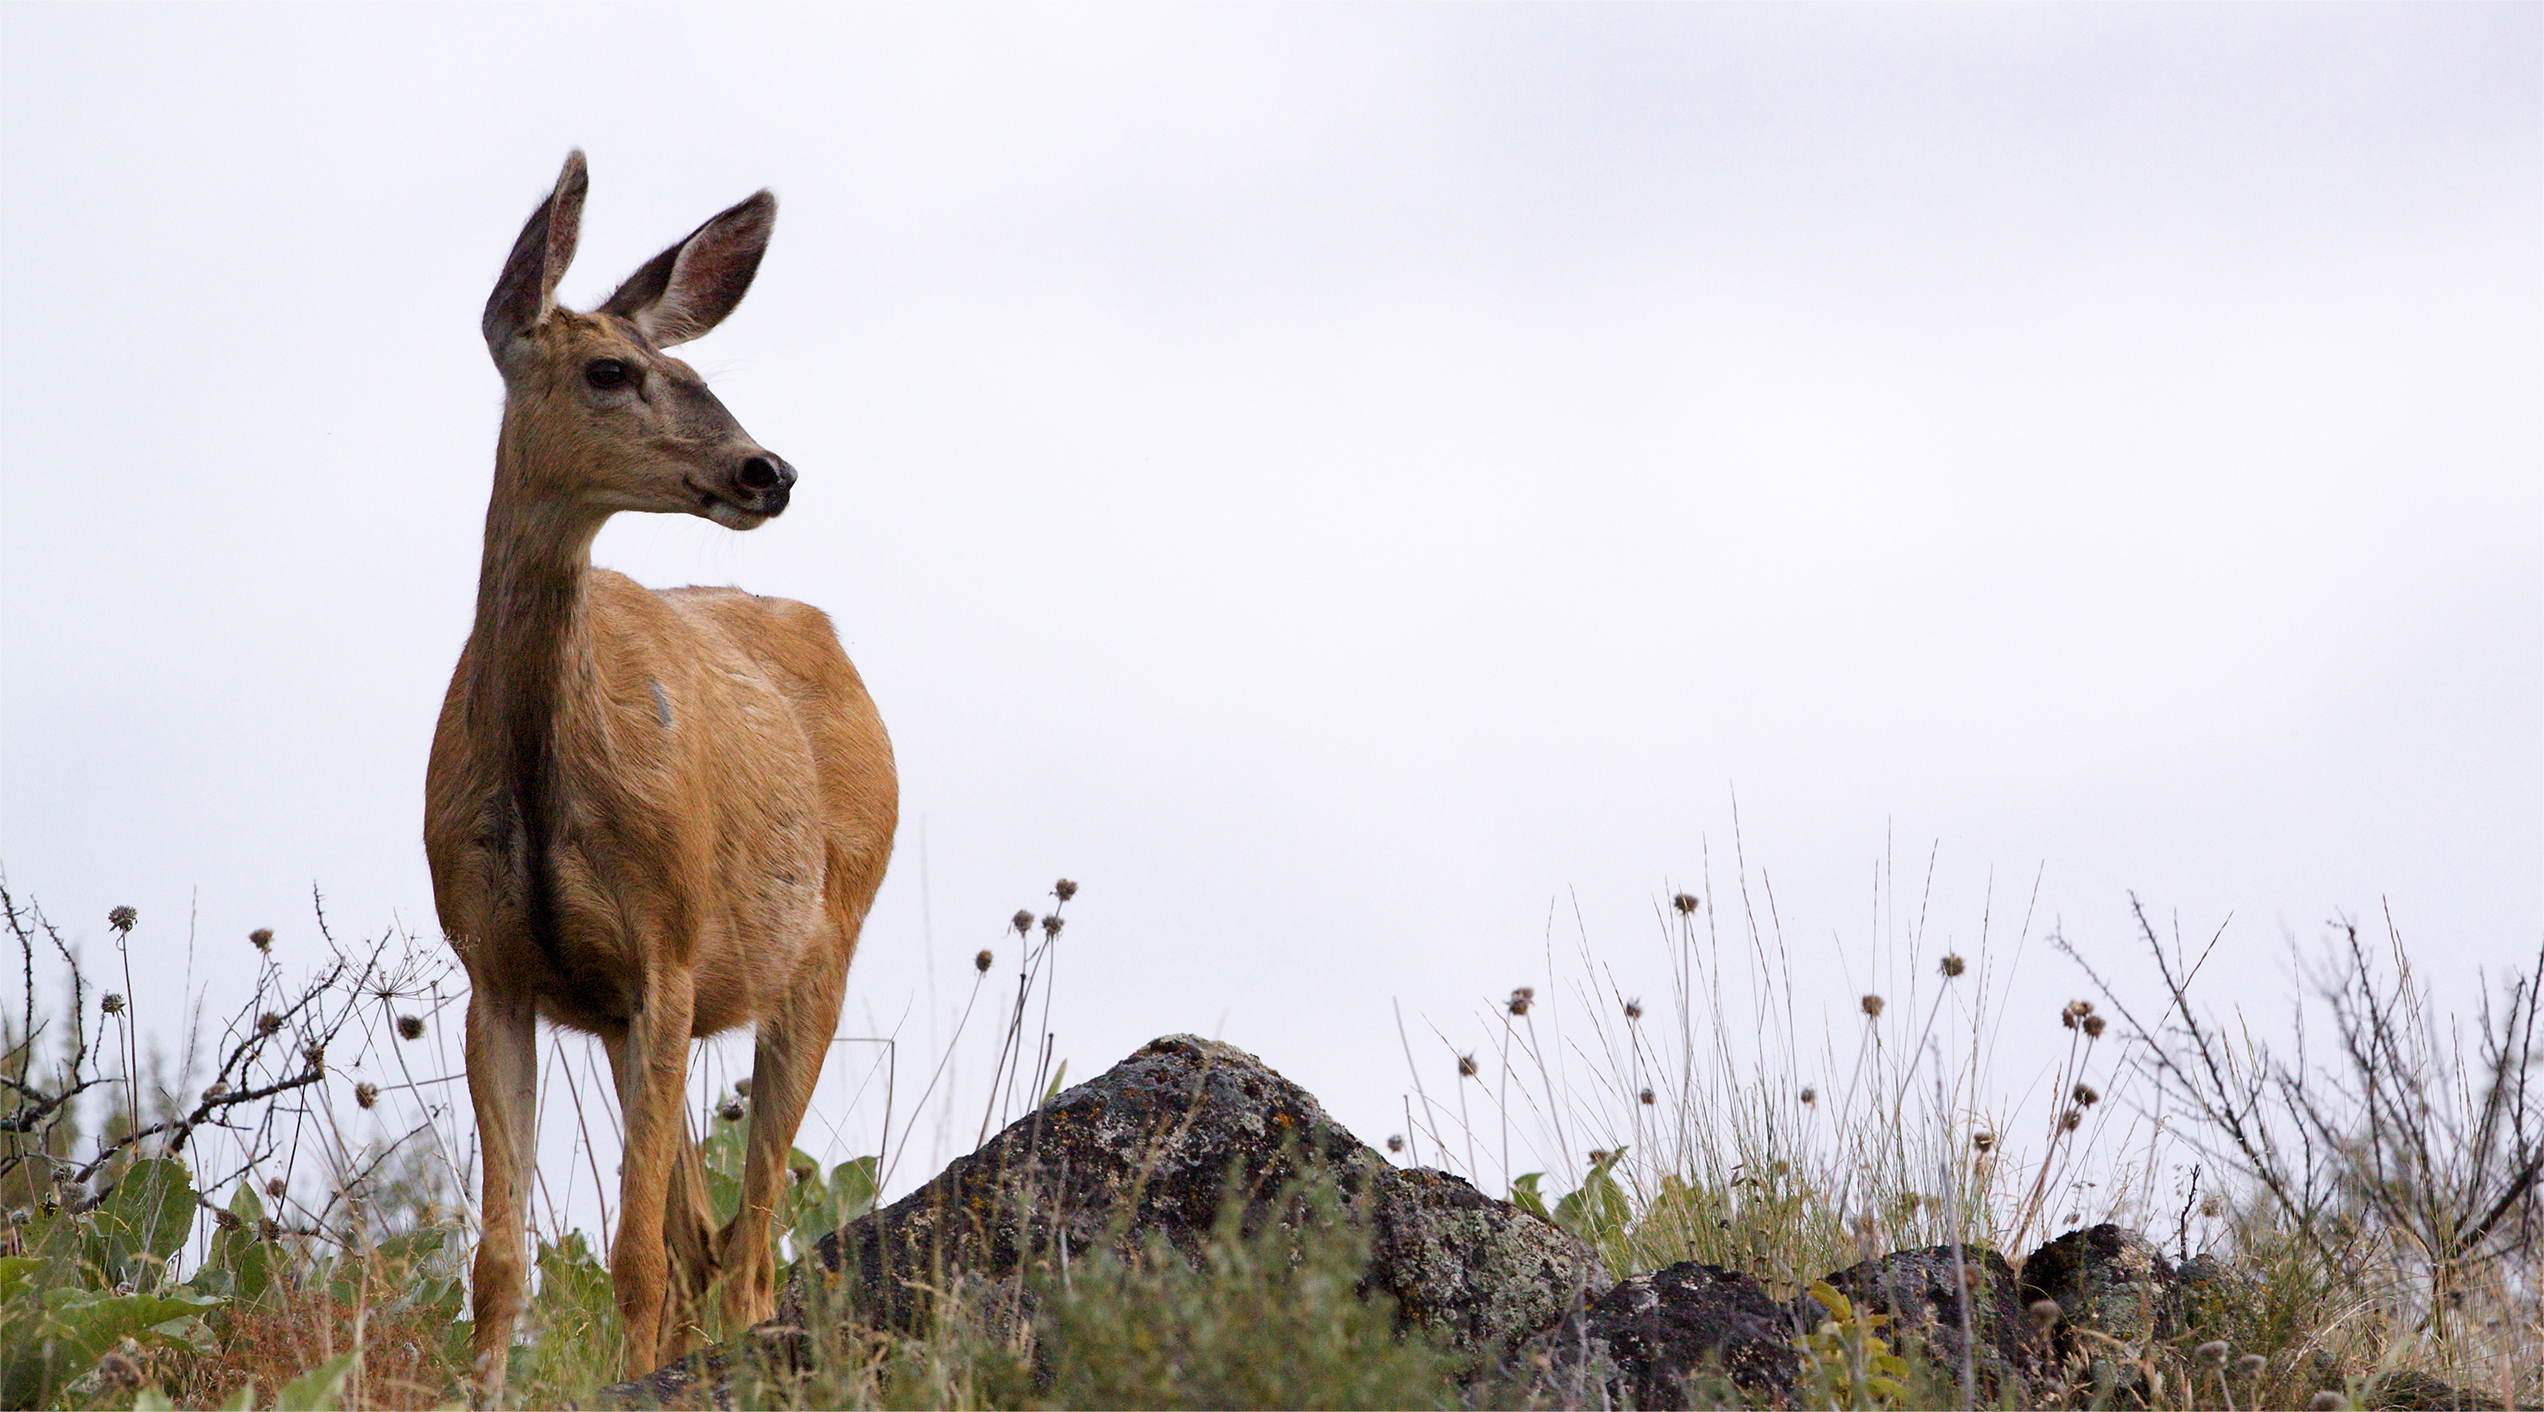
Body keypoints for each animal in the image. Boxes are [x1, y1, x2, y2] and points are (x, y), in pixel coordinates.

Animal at [424, 150, 897, 1396]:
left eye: (693, 369)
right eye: (612, 369)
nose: (767, 469)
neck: (542, 780)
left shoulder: (666, 949)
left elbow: (633, 1248)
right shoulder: (498, 966)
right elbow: (500, 1259)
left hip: (820, 947)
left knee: (749, 1240)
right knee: (708, 1236)